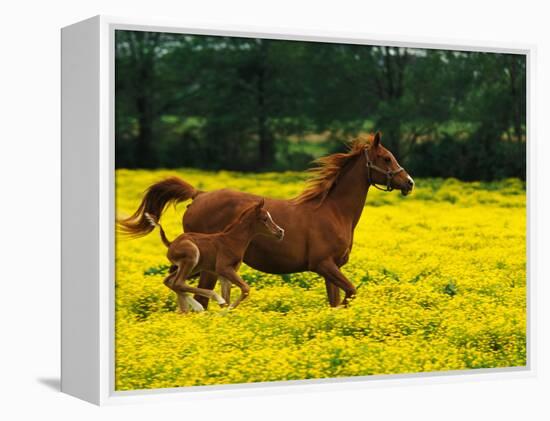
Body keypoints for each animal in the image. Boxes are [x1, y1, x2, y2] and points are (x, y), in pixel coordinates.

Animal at [144, 198, 286, 312]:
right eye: (265, 219)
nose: (280, 232)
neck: (233, 240)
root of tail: (171, 243)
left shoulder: (225, 273)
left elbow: (228, 296)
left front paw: (225, 312)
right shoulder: (223, 268)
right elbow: (245, 289)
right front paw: (225, 310)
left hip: (193, 266)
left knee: (170, 281)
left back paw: (187, 310)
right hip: (192, 257)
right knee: (178, 283)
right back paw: (205, 303)